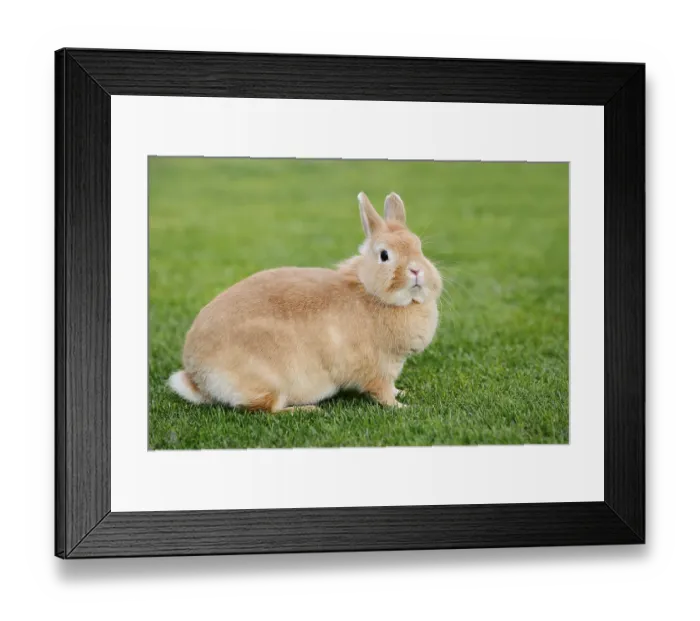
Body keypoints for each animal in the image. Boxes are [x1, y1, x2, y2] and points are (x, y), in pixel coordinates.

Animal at [168, 191, 443, 412]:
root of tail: (197, 377)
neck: (369, 292)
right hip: (270, 382)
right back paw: (307, 410)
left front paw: (403, 392)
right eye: (385, 255)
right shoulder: (377, 369)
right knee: (263, 409)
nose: (417, 270)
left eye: (419, 247)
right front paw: (402, 407)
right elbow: (382, 393)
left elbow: (392, 387)